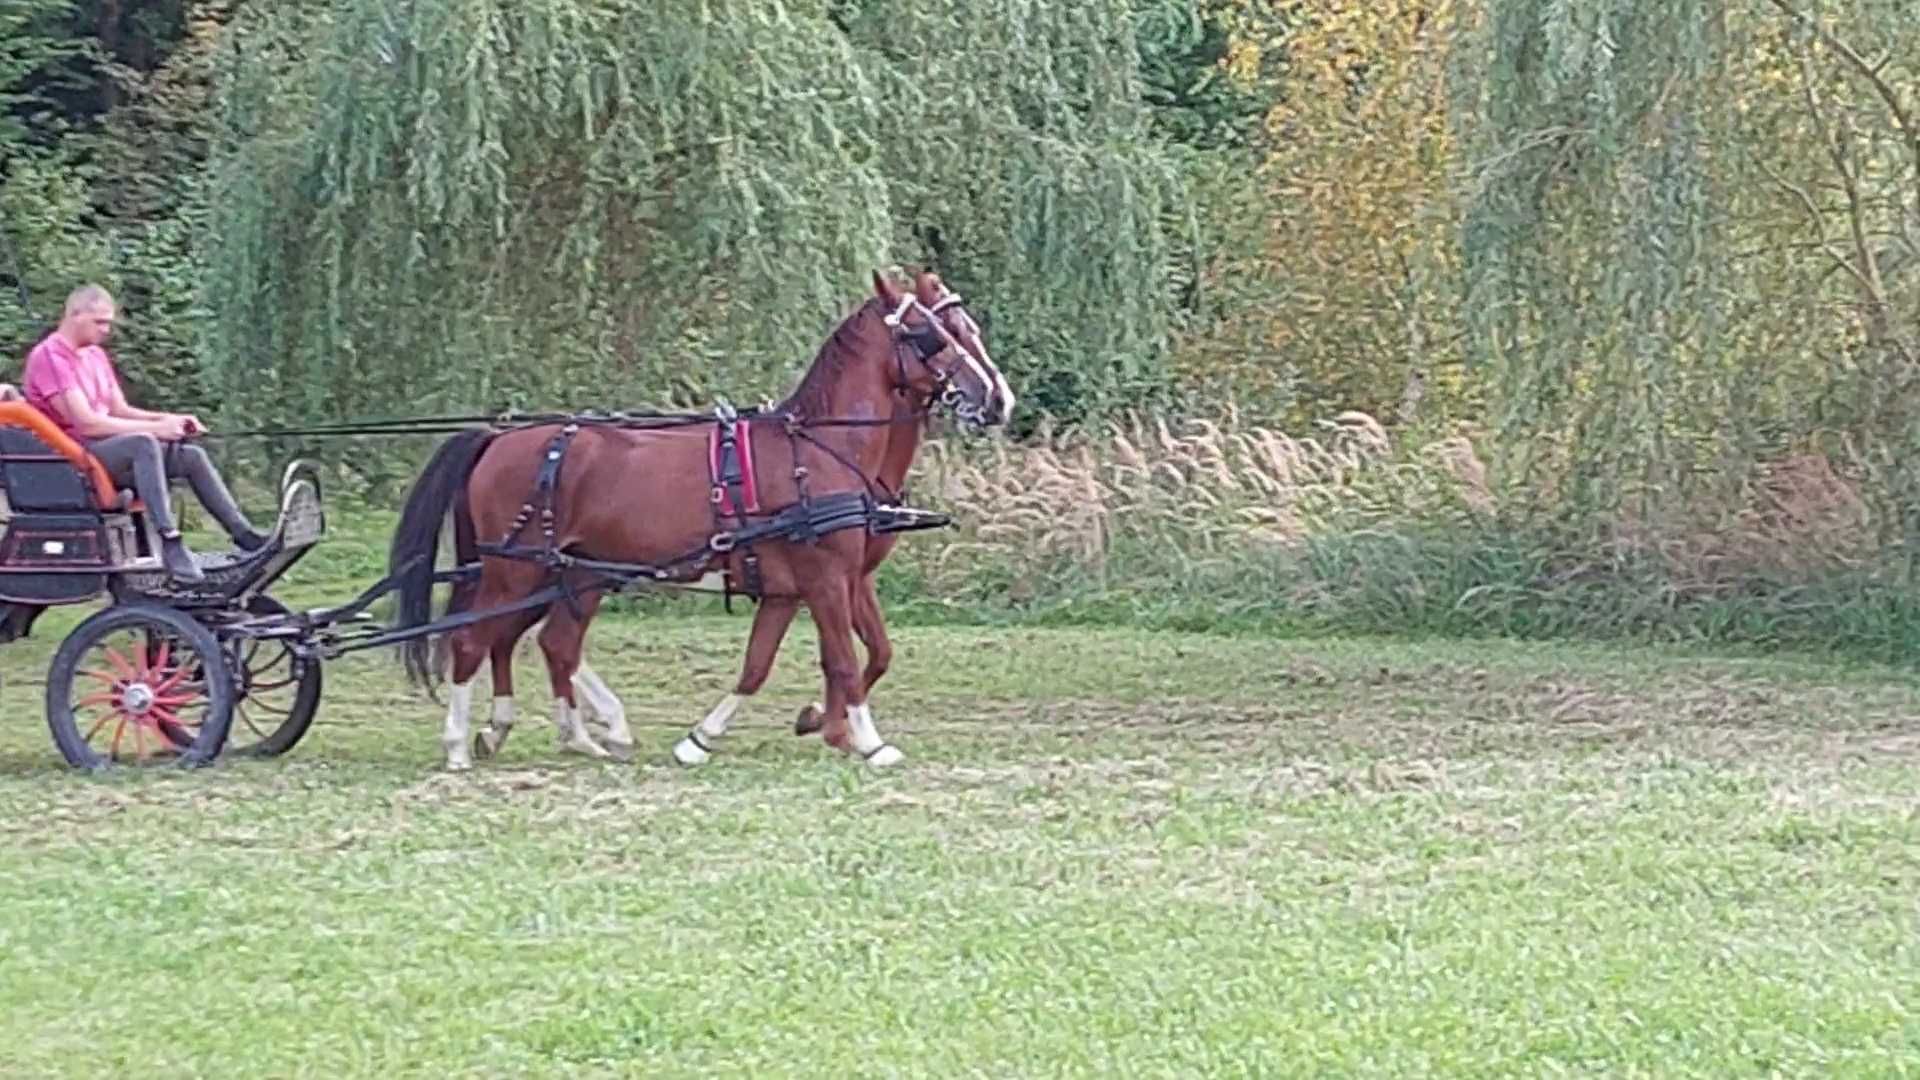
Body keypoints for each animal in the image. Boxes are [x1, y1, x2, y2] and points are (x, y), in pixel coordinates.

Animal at [382, 269, 1013, 764]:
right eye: (931, 335)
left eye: (966, 330)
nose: (998, 399)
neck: (821, 450)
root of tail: (499, 437)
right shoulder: (826, 577)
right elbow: (842, 657)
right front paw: (866, 739)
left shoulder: (811, 585)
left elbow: (802, 661)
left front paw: (726, 734)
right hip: (516, 570)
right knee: (474, 640)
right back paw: (463, 743)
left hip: (572, 571)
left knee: (549, 642)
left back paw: (576, 735)